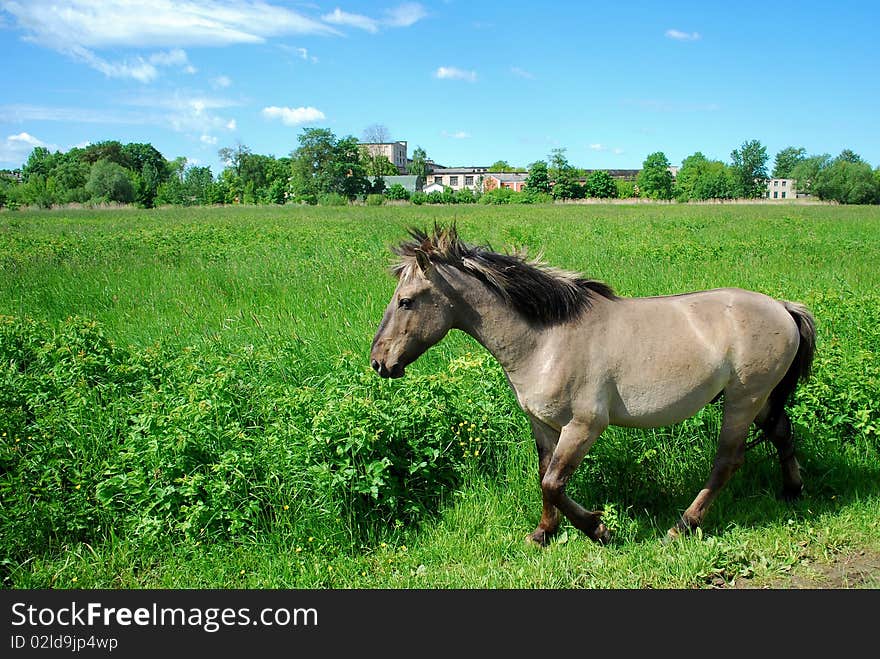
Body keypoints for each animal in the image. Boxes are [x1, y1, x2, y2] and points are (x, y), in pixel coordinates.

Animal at [368, 224, 816, 544]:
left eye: (406, 301)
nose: (379, 362)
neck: (546, 340)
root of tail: (783, 307)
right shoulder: (543, 424)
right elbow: (545, 475)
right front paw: (543, 533)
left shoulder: (585, 426)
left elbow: (553, 483)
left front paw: (598, 529)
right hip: (760, 399)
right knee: (782, 432)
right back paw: (792, 492)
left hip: (743, 399)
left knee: (727, 461)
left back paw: (682, 527)